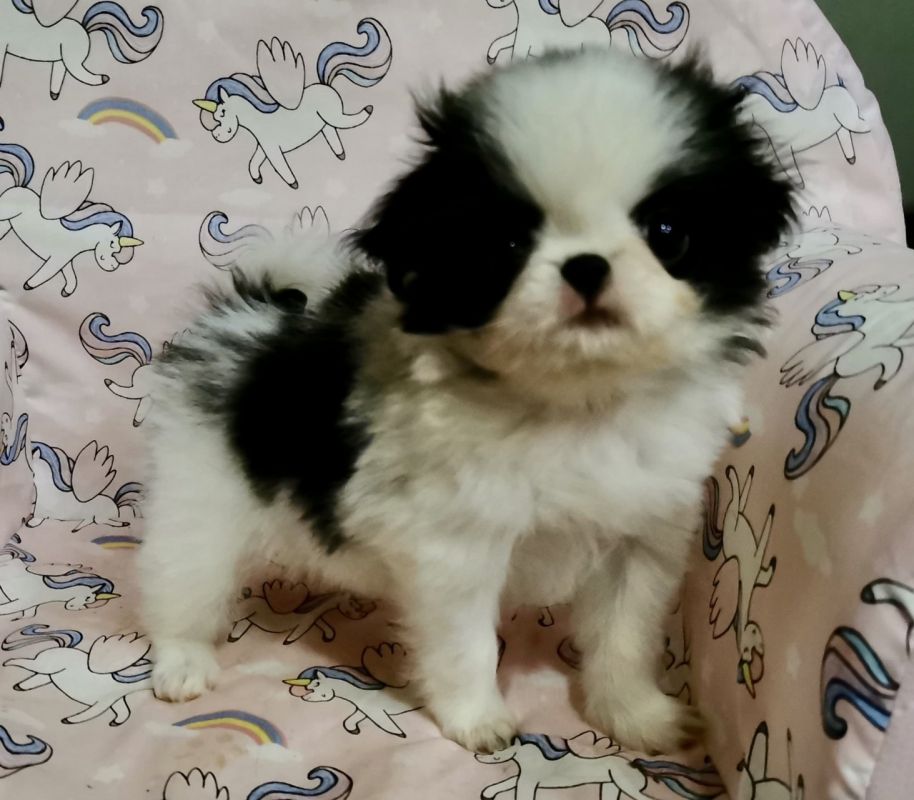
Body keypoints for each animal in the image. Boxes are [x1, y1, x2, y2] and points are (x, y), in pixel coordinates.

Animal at [138, 48, 794, 754]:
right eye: (505, 246)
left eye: (668, 233)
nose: (587, 265)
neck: (576, 403)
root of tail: (251, 309)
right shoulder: (456, 549)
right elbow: (466, 644)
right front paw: (476, 721)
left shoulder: (639, 538)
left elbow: (624, 635)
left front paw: (635, 715)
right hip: (201, 499)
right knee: (182, 582)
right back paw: (182, 661)